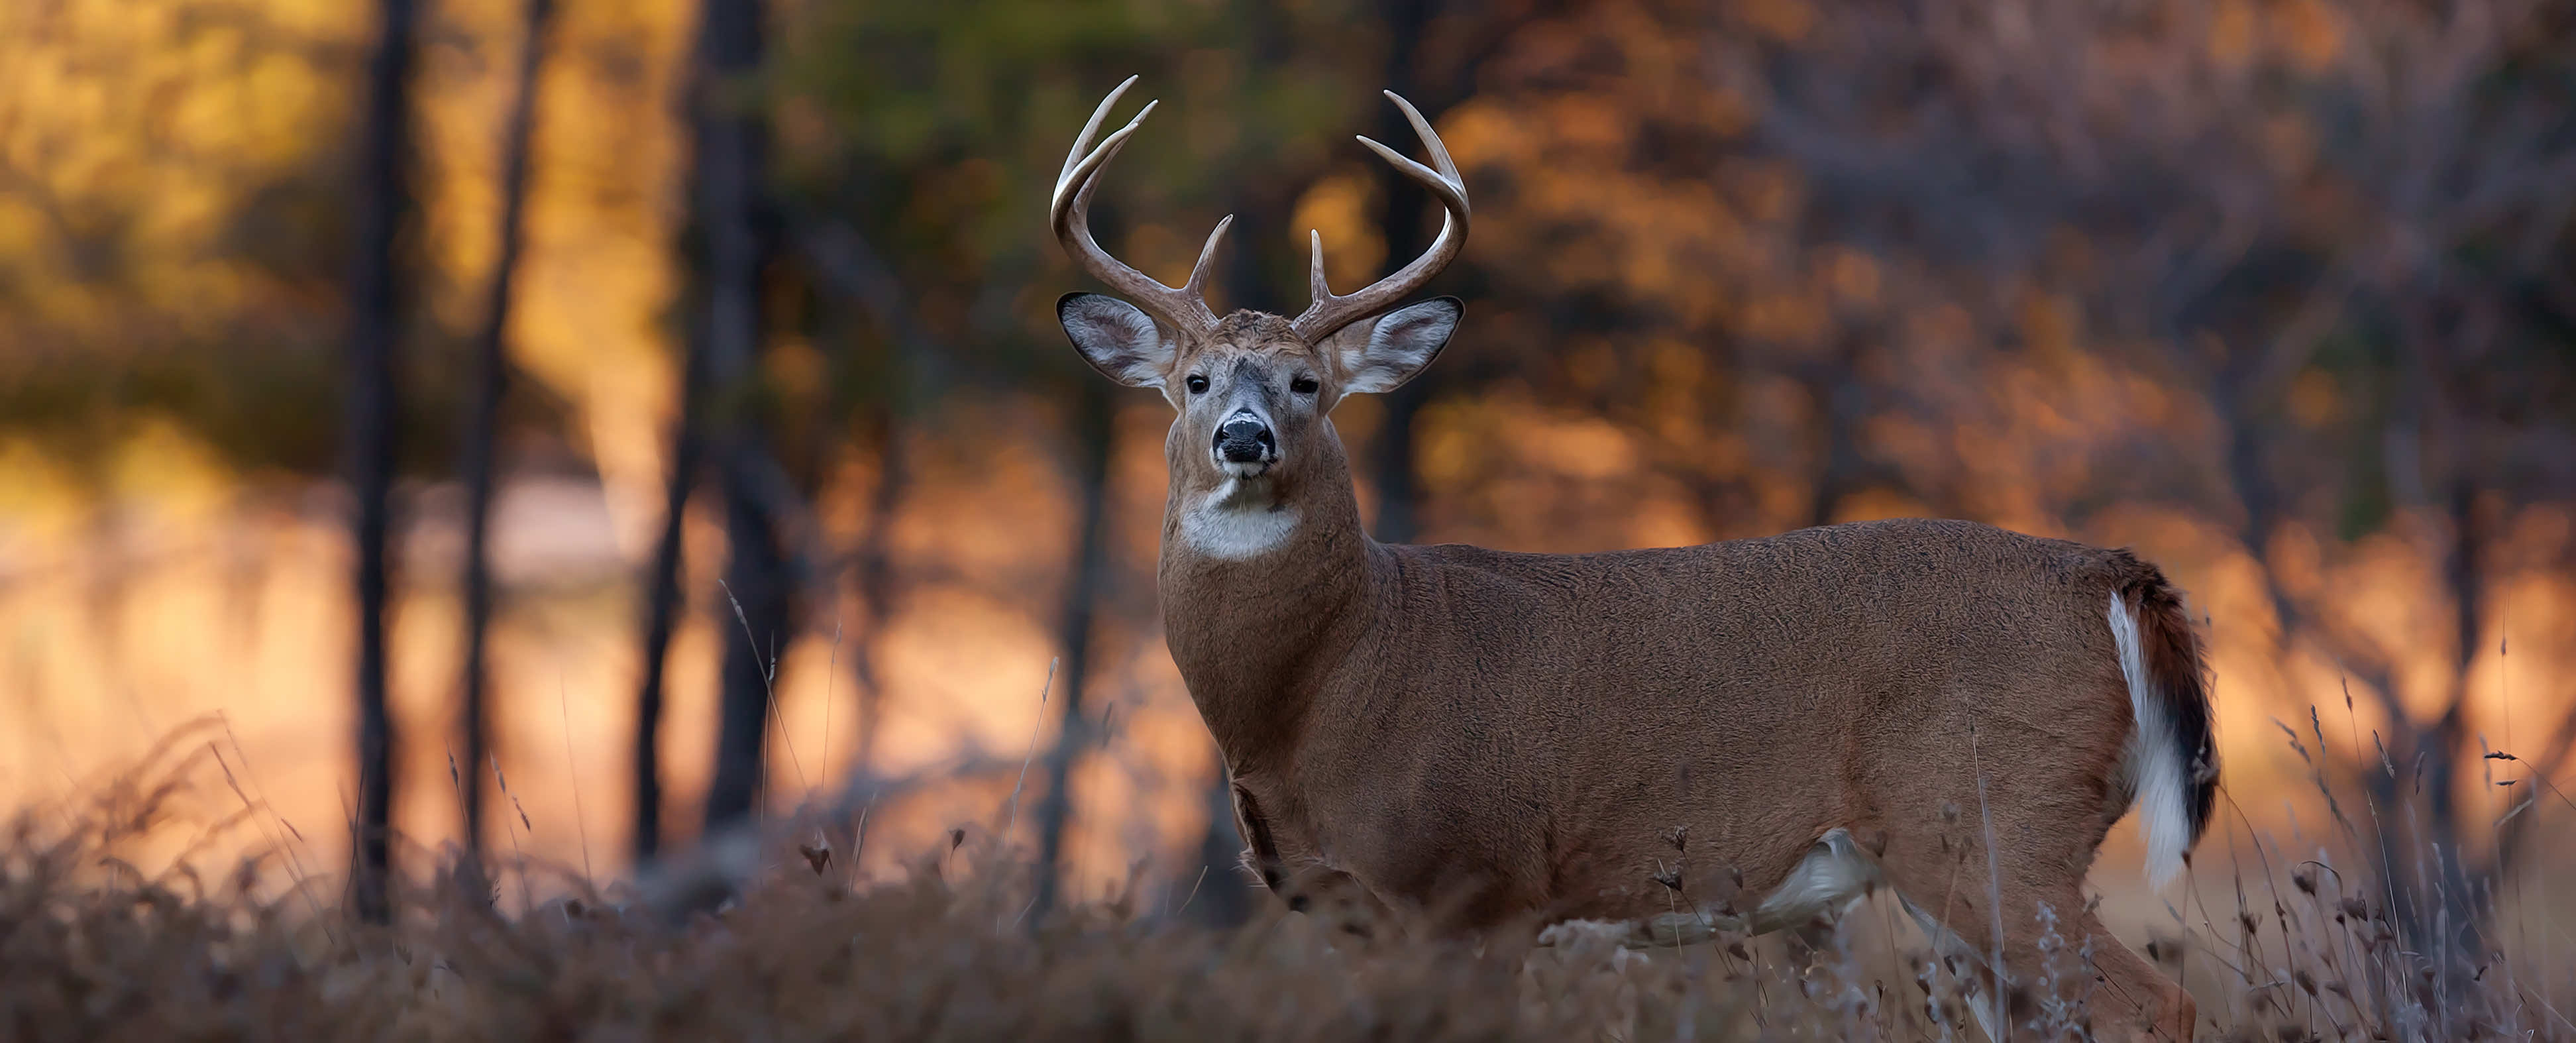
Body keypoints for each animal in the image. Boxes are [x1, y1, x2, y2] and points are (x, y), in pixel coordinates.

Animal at [1048, 76, 2219, 1042]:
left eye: (1308, 385)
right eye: (1195, 381)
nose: (1245, 438)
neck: (1327, 684)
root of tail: (2108, 574)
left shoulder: (1479, 883)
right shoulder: (1359, 914)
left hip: (1995, 822)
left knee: (2160, 1002)